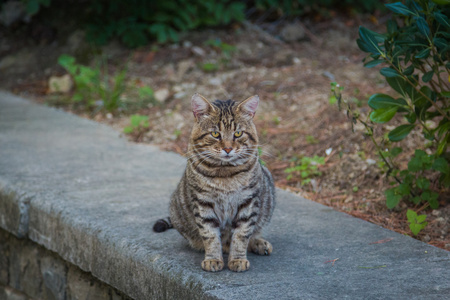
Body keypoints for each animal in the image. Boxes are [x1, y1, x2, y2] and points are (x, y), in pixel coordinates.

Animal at [153, 94, 276, 272]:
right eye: (215, 134)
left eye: (238, 133)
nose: (228, 149)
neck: (226, 175)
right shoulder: (203, 203)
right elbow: (210, 235)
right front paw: (213, 259)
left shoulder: (249, 201)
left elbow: (242, 234)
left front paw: (238, 259)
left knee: (254, 231)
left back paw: (258, 243)